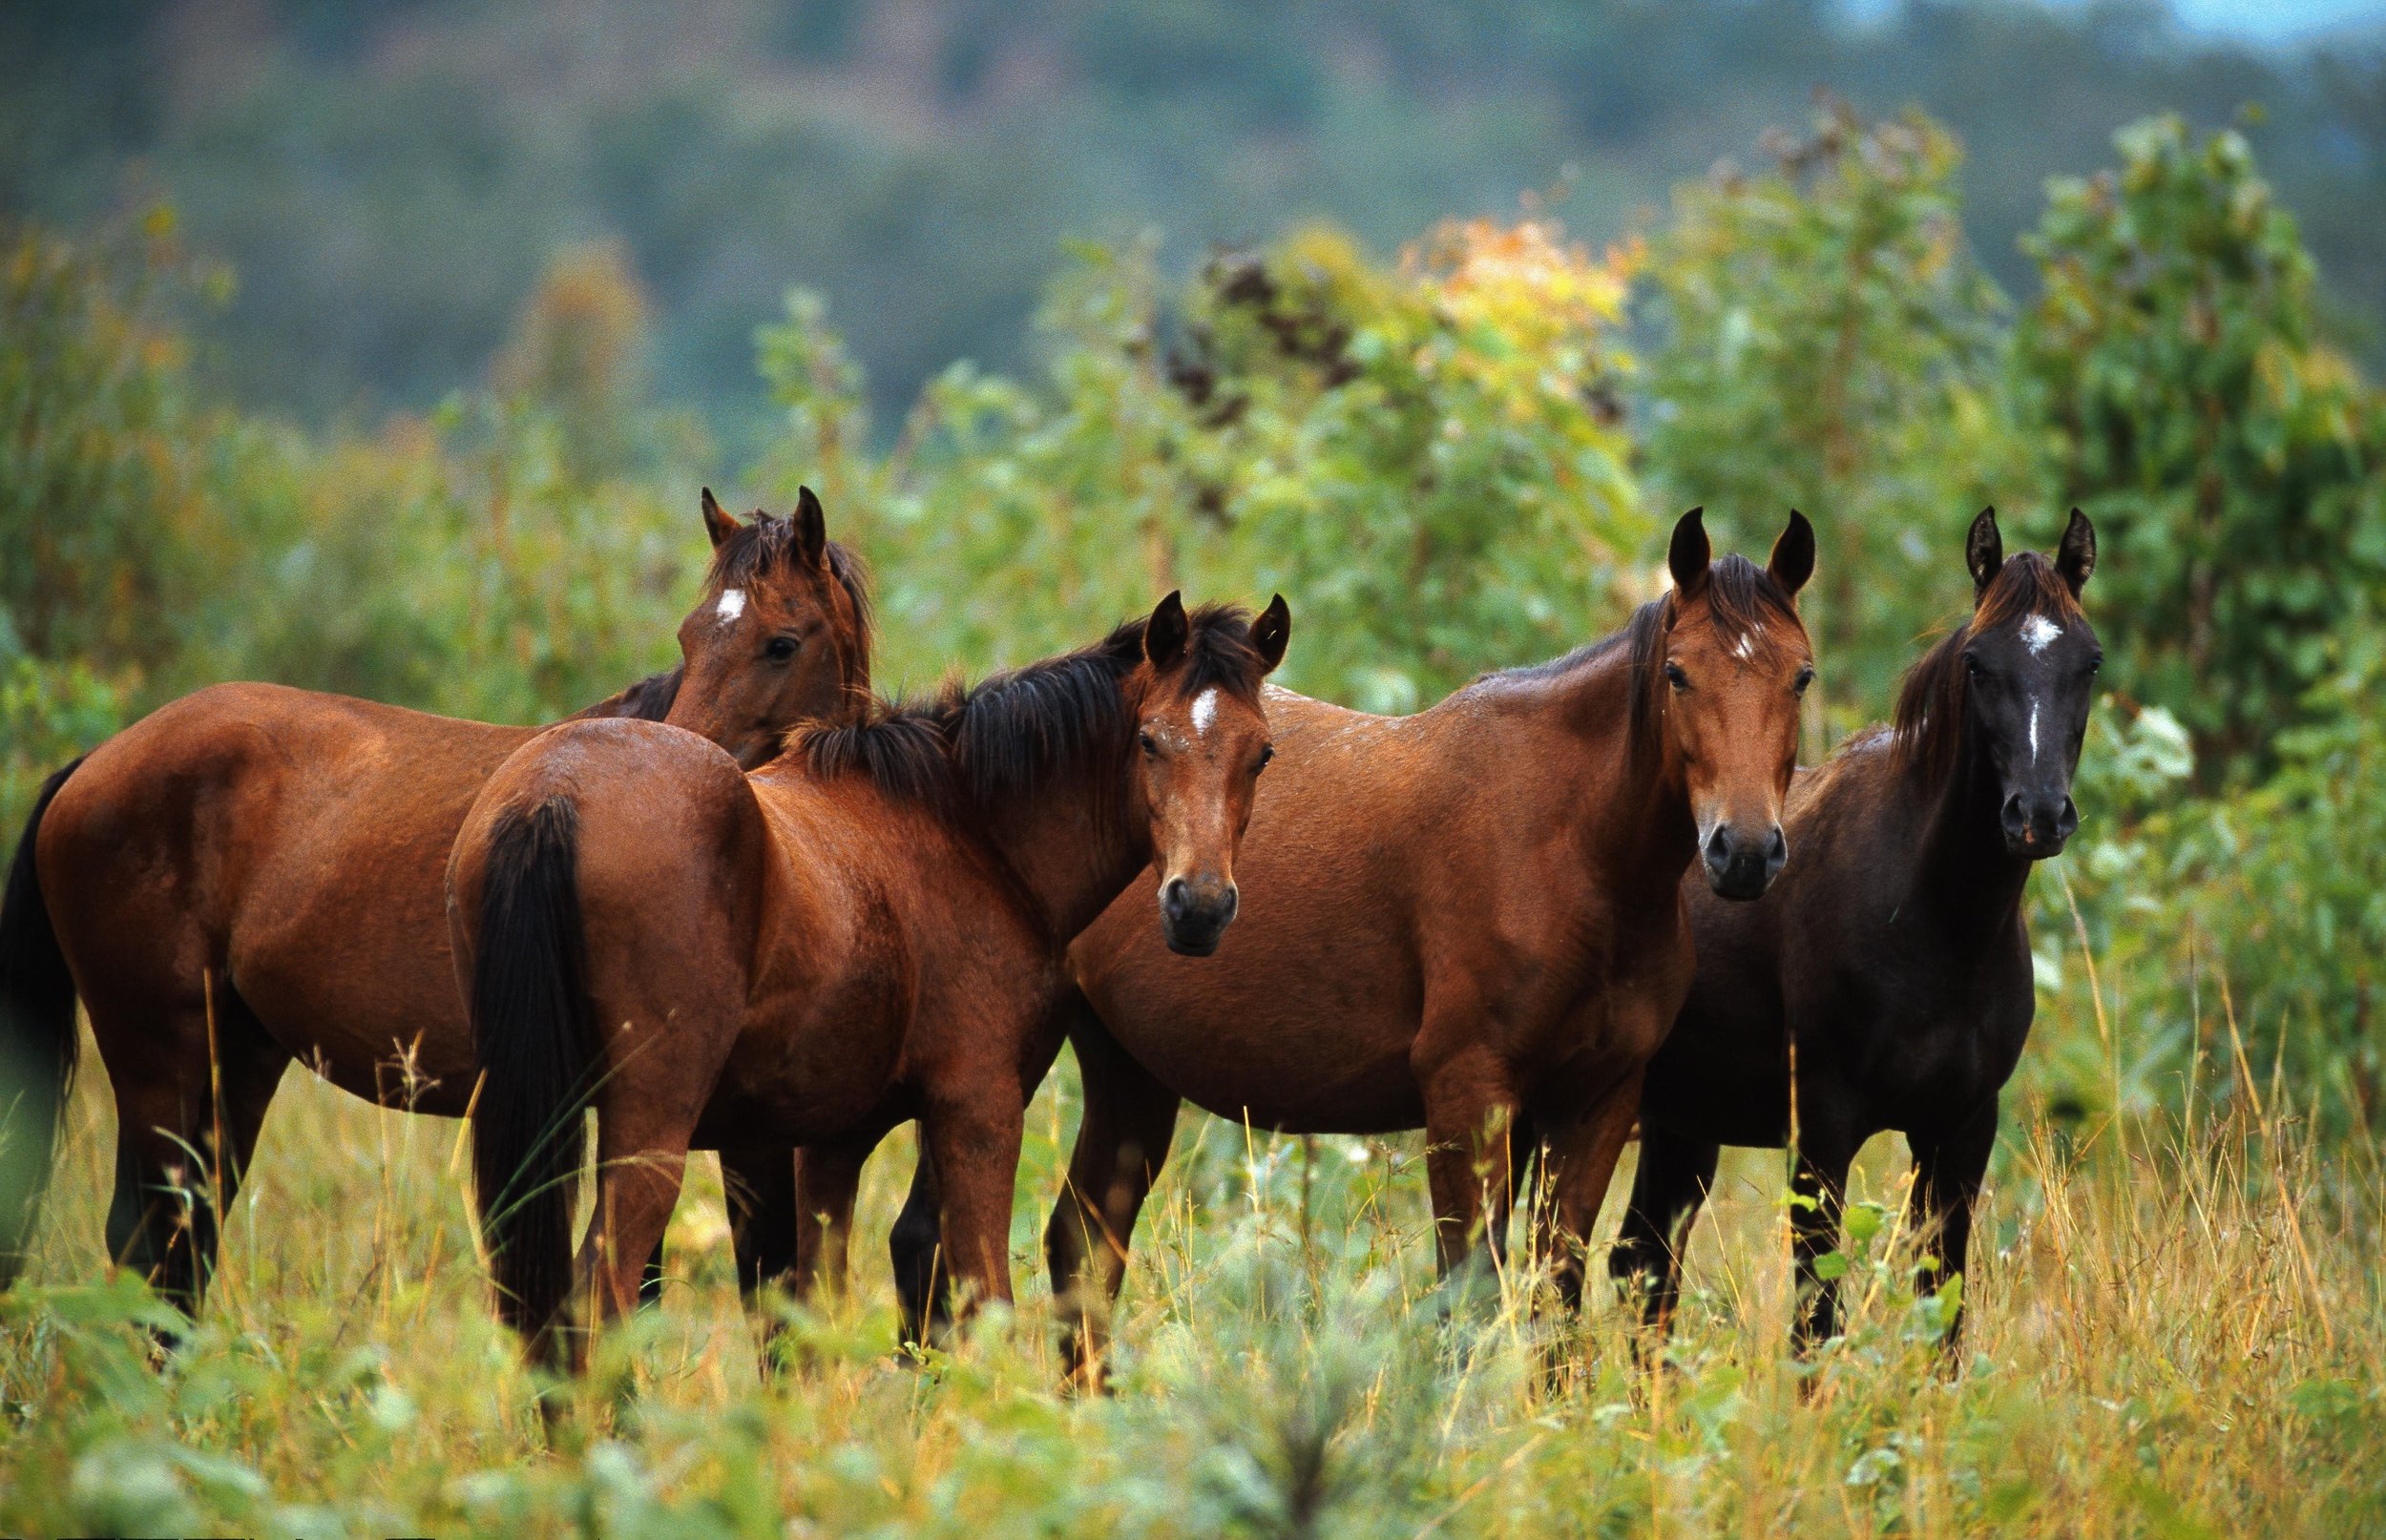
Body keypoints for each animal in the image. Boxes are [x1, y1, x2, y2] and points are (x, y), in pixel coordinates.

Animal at [0, 489, 872, 1317]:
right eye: (690, 640)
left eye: (782, 642)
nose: (683, 755)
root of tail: (92, 765)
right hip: (160, 1061)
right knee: (151, 1243)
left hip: (237, 1061)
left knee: (186, 1245)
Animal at [447, 592, 1291, 1372]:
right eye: (1150, 740)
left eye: (1262, 754)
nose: (1199, 907)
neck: (969, 832)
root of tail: (554, 793)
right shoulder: (978, 1111)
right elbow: (983, 1299)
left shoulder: (832, 1144)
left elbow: (816, 1319)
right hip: (650, 1130)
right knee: (600, 1299)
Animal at [873, 509, 1816, 1380]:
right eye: (1678, 673)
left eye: (1801, 676)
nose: (1743, 851)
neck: (1571, 850)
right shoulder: (1467, 1093)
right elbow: (1469, 1295)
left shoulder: (1597, 1102)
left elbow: (1556, 1293)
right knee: (935, 1246)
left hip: (1127, 1073)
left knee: (1078, 1246)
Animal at [1609, 508, 2098, 1360]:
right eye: (1978, 664)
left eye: (2091, 663)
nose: (2038, 814)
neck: (1933, 922)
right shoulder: (1823, 1135)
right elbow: (1815, 1321)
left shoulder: (1960, 1132)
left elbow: (1943, 1315)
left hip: (1680, 1128)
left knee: (1645, 1268)